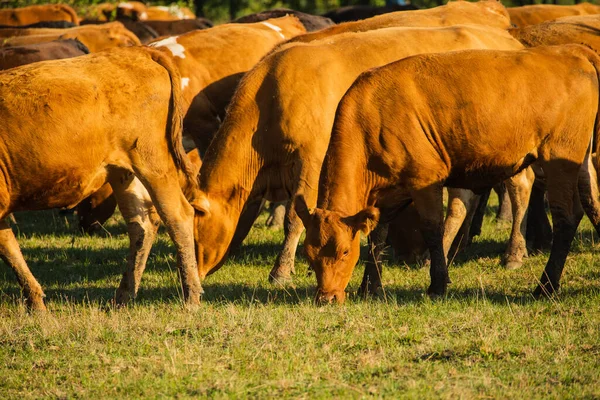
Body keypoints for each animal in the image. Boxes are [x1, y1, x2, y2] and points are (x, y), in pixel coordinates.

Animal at [0, 46, 205, 310]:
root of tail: (141, 52)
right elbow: (11, 249)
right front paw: (36, 303)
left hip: (153, 165)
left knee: (177, 216)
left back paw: (191, 296)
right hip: (123, 173)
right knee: (141, 225)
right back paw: (124, 296)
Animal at [189, 24, 524, 288]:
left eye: (194, 227)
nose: (188, 275)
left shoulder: (311, 160)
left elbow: (294, 220)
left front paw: (281, 271)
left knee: (518, 190)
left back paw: (511, 254)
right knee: (461, 202)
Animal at [298, 44, 600, 304]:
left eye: (344, 251)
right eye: (310, 256)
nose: (326, 298)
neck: (372, 115)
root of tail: (571, 51)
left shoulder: (424, 180)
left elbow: (433, 229)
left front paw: (437, 285)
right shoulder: (387, 194)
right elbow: (377, 238)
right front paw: (370, 287)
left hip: (559, 159)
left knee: (566, 216)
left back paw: (545, 286)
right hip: (582, 161)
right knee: (591, 203)